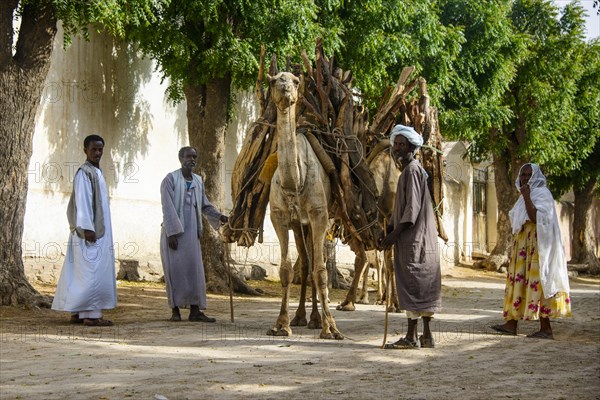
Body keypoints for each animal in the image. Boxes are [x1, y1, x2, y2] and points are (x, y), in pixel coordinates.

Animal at [268, 70, 342, 340]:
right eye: (273, 81)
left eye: (296, 81)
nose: (286, 89)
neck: (294, 182)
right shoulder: (279, 217)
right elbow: (286, 270)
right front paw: (281, 324)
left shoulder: (319, 215)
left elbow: (321, 271)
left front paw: (331, 328)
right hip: (301, 225)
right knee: (305, 262)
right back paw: (303, 317)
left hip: (324, 218)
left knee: (316, 264)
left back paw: (317, 320)